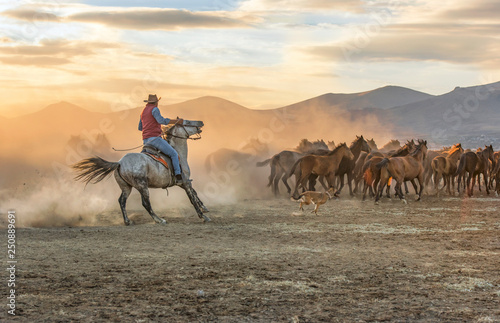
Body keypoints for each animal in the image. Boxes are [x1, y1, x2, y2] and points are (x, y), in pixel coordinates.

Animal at [72, 121, 209, 225]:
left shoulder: (183, 183)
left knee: (122, 201)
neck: (177, 153)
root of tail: (119, 163)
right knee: (145, 203)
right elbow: (192, 198)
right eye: (188, 122)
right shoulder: (184, 182)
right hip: (142, 186)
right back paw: (159, 220)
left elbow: (195, 193)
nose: (200, 123)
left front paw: (204, 208)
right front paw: (203, 216)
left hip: (126, 187)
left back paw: (128, 221)